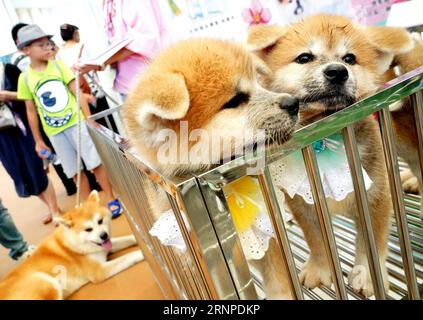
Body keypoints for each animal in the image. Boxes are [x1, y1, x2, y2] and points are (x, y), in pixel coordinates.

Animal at [0, 192, 144, 300]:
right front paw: (143, 253)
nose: (104, 235)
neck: (74, 244)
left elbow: (128, 239)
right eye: (88, 229)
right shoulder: (99, 271)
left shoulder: (103, 247)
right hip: (47, 282)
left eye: (100, 221)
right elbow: (129, 256)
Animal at [248, 13, 418, 296]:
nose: (337, 71)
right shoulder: (304, 207)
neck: (325, 141)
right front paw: (319, 267)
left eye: (349, 58)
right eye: (304, 57)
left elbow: (373, 242)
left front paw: (368, 274)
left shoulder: (376, 195)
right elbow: (316, 241)